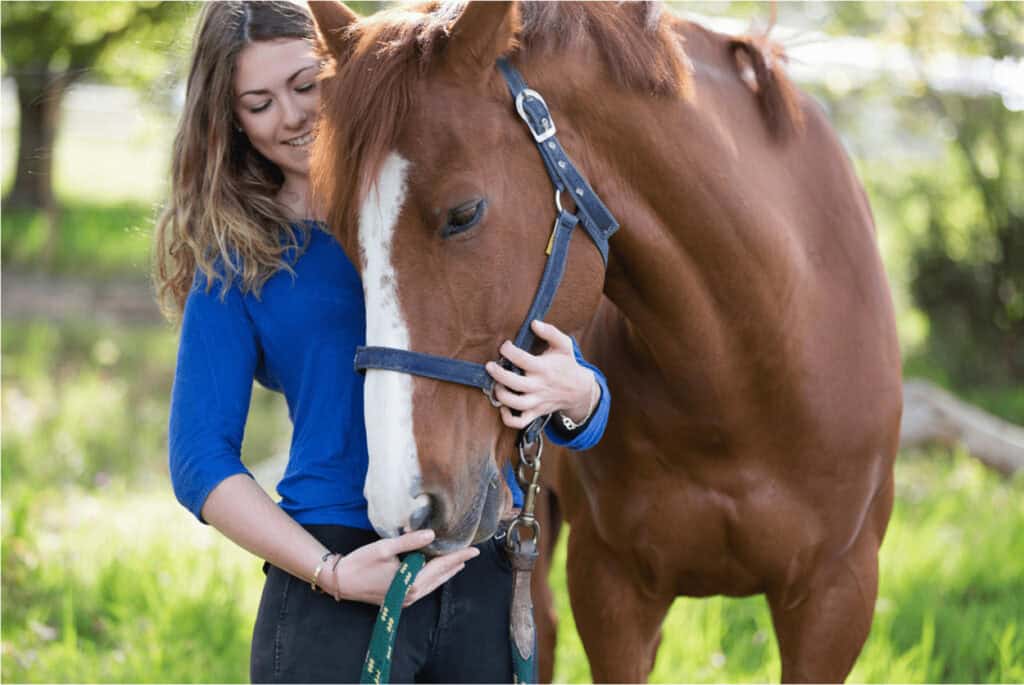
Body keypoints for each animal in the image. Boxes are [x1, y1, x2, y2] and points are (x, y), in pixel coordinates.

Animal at [308, 2, 903, 682]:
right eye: (343, 235)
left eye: (464, 214)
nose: (401, 505)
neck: (746, 377)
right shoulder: (612, 590)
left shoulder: (837, 597)